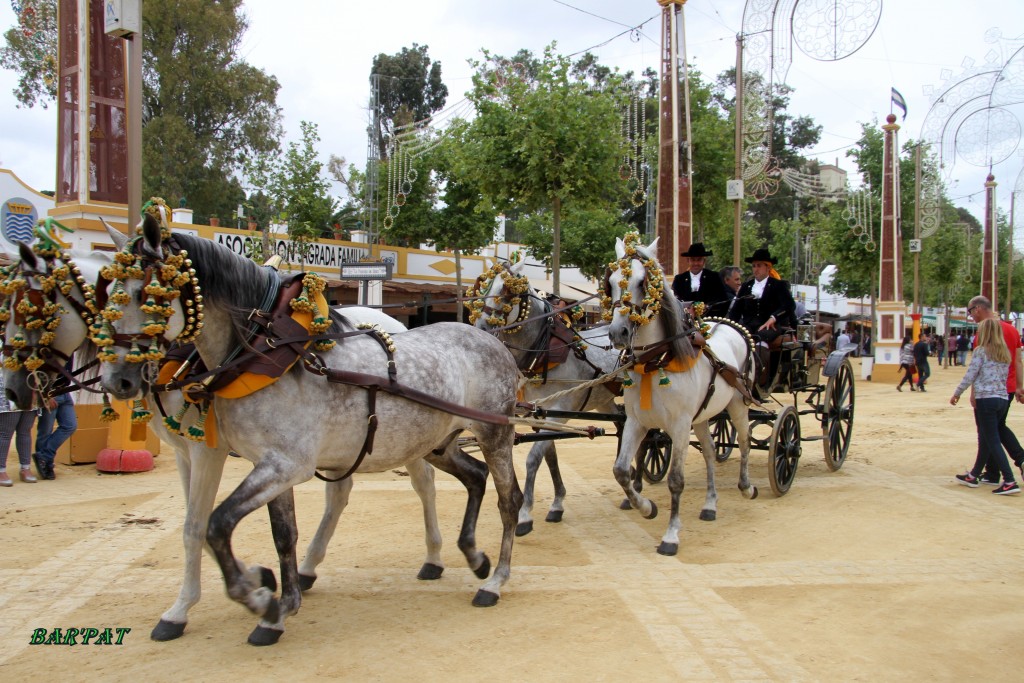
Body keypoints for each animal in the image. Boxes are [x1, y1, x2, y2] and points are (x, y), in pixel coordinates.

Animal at [468, 258, 618, 532]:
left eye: (507, 291)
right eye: (484, 287)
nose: (481, 327)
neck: (544, 350)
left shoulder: (558, 411)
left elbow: (533, 458)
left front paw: (525, 513)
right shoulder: (539, 413)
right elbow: (550, 456)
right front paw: (558, 503)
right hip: (605, 400)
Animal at [602, 233, 757, 557]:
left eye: (643, 282)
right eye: (610, 281)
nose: (618, 333)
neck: (655, 362)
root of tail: (729, 325)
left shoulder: (680, 426)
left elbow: (676, 480)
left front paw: (671, 535)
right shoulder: (637, 422)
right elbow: (621, 470)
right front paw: (646, 507)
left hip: (738, 405)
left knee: (745, 442)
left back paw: (747, 487)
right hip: (703, 417)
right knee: (710, 452)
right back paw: (710, 504)